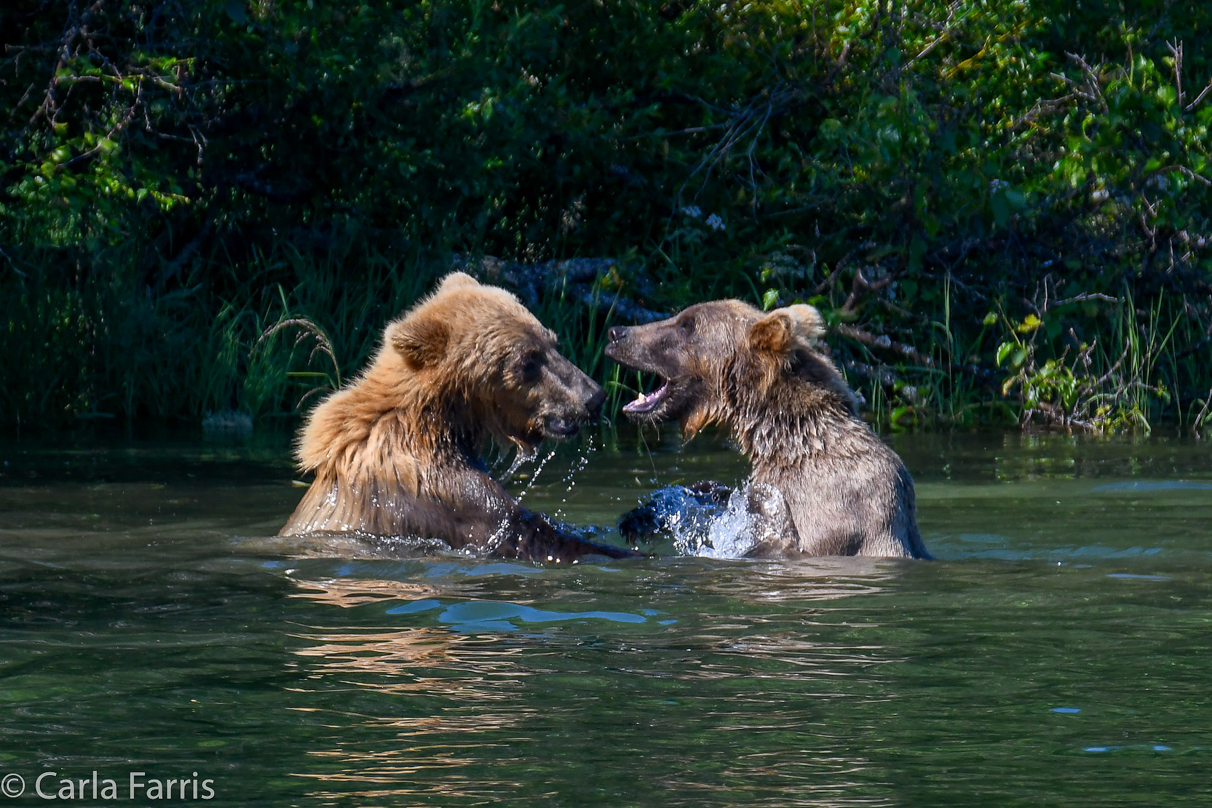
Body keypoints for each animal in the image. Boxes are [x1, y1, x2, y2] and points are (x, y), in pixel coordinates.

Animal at [279, 271, 639, 562]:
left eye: (553, 343)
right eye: (528, 360)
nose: (593, 397)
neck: (439, 421)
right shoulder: (444, 496)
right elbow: (525, 533)